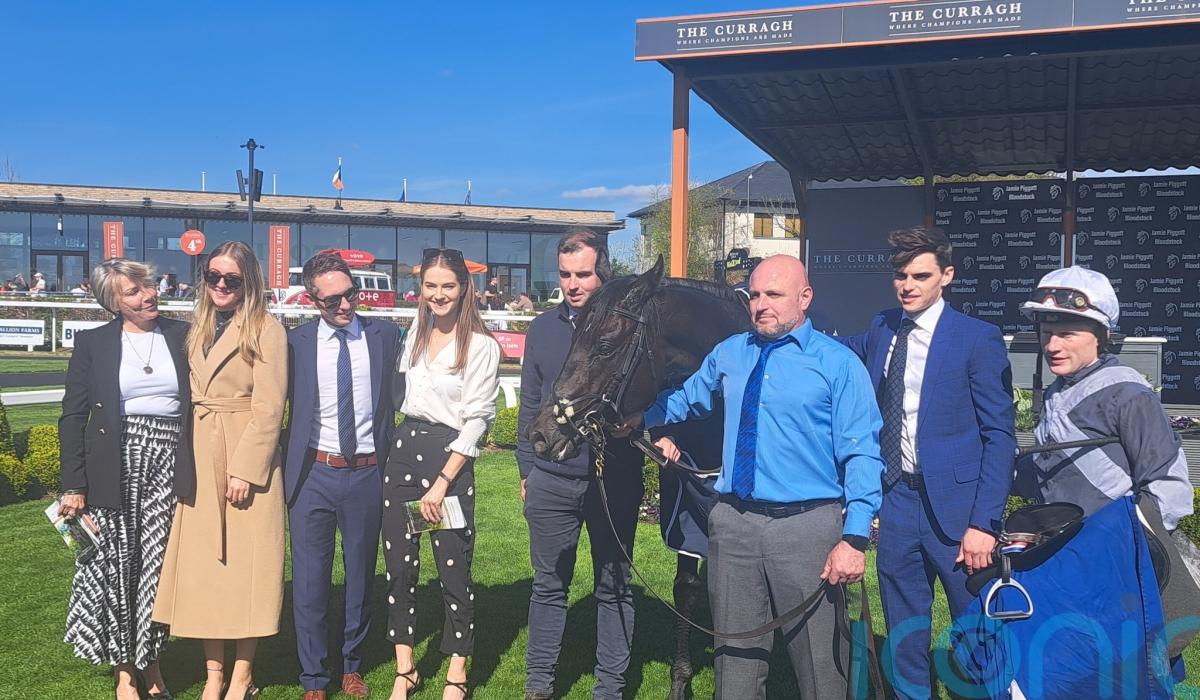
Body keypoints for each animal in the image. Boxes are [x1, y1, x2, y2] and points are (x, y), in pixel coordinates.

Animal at [529, 257, 751, 699]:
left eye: (604, 346)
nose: (543, 434)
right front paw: (680, 683)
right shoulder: (688, 513)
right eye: (575, 337)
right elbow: (687, 589)